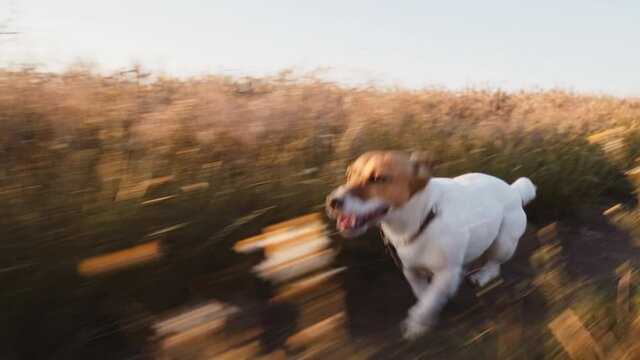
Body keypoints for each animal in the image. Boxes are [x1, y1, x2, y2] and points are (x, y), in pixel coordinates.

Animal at [324, 150, 536, 340]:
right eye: (348, 174)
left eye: (377, 178)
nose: (332, 201)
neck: (423, 218)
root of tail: (514, 189)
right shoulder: (411, 270)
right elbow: (424, 295)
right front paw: (428, 313)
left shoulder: (445, 273)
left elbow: (427, 302)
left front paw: (416, 323)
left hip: (503, 243)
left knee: (494, 265)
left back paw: (481, 277)